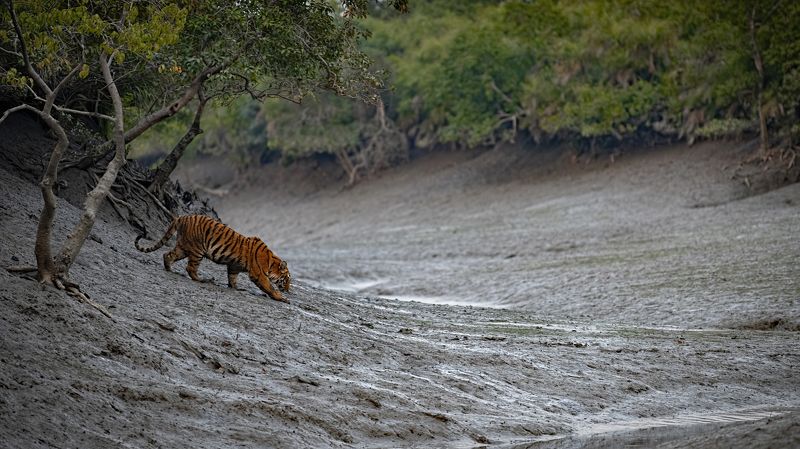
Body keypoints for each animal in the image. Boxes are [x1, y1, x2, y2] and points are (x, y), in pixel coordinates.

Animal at [135, 214, 291, 303]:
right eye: (287, 279)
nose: (288, 290)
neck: (271, 263)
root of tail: (181, 217)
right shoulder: (258, 274)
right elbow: (269, 287)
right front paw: (282, 298)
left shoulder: (234, 266)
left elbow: (232, 278)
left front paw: (237, 288)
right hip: (197, 250)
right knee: (190, 268)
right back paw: (203, 280)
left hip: (183, 247)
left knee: (167, 255)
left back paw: (169, 269)